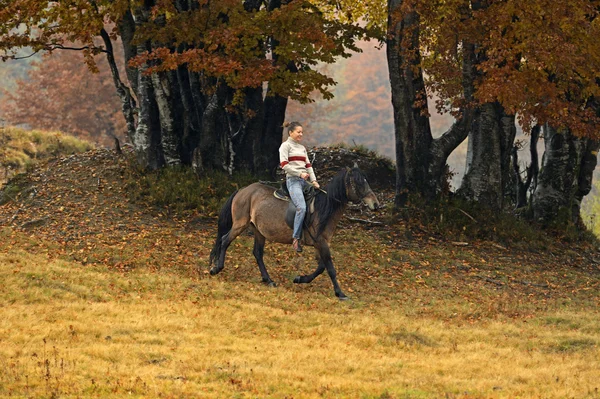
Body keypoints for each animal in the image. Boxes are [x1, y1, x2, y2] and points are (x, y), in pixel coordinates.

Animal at [209, 165, 380, 300]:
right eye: (359, 182)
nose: (376, 204)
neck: (323, 208)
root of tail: (243, 190)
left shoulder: (320, 244)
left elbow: (321, 267)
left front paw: (299, 279)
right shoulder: (321, 243)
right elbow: (330, 269)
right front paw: (340, 293)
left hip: (258, 231)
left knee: (257, 253)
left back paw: (268, 280)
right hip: (240, 224)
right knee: (225, 240)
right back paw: (216, 268)